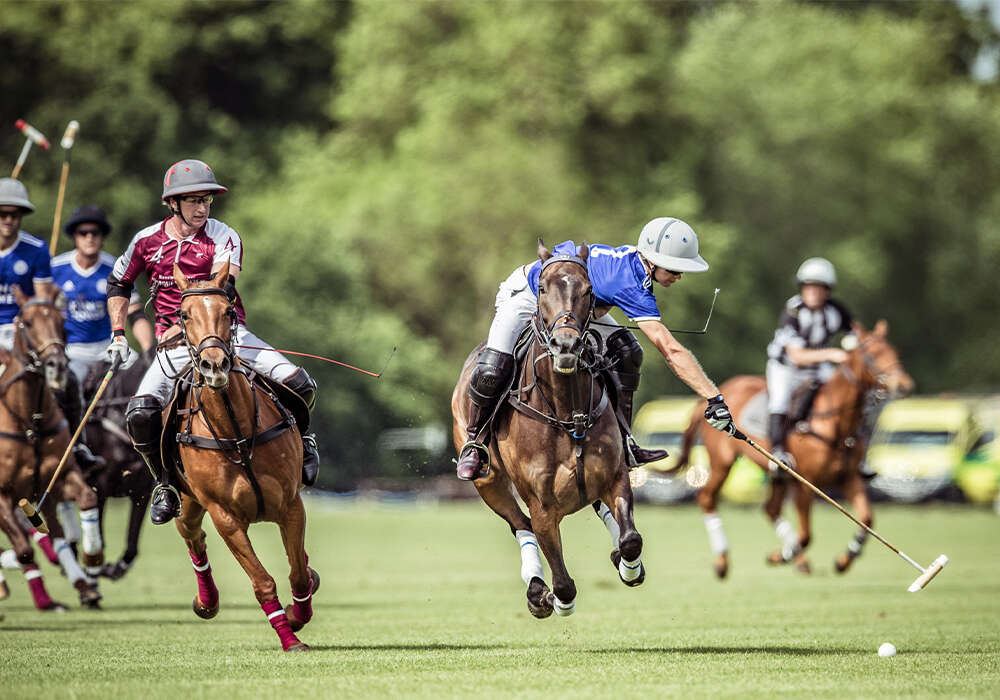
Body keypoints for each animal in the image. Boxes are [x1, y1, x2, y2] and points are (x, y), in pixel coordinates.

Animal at [0, 288, 103, 608]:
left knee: (57, 533)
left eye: (62, 322)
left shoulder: (59, 479)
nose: (56, 366)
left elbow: (87, 499)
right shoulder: (2, 496)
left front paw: (93, 556)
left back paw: (82, 582)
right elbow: (23, 550)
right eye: (28, 323)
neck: (29, 420)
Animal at [168, 262, 316, 652]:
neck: (235, 431)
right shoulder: (226, 516)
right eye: (184, 315)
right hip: (188, 498)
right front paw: (289, 637)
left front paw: (296, 617)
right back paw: (206, 601)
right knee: (190, 532)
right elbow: (262, 581)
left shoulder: (291, 504)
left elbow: (297, 575)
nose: (214, 365)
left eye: (229, 311)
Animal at [450, 241, 644, 616]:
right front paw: (553, 599)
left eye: (589, 290)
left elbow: (631, 539)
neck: (568, 414)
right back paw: (537, 589)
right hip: (489, 481)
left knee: (628, 352)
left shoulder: (615, 477)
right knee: (520, 524)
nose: (565, 345)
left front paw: (629, 567)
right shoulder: (542, 507)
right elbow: (564, 583)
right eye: (541, 288)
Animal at [672, 320, 916, 576]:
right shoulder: (804, 483)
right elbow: (807, 535)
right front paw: (780, 556)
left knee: (770, 508)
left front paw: (843, 560)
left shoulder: (849, 478)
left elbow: (867, 519)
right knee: (707, 498)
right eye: (872, 354)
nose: (904, 385)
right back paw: (722, 561)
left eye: (894, 351)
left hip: (777, 475)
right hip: (722, 461)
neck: (836, 423)